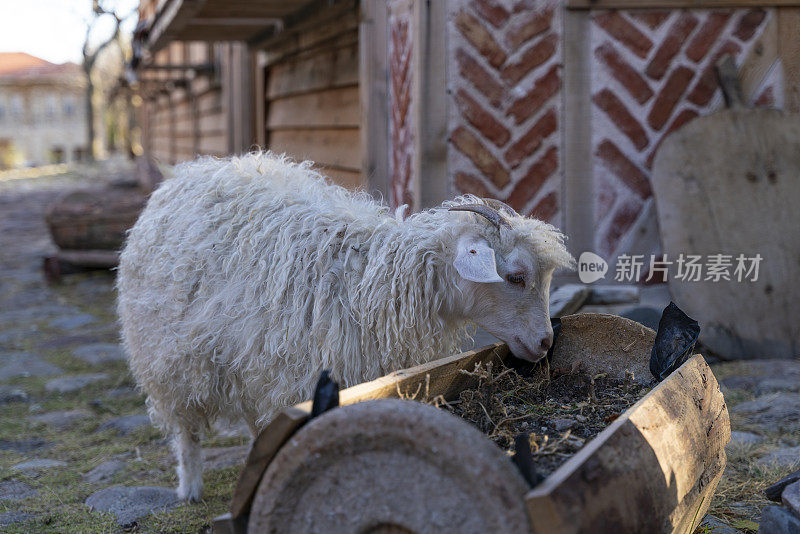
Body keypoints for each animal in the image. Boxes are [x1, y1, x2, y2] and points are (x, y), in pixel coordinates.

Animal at [115, 152, 572, 502]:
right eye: (516, 277)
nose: (545, 341)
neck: (369, 280)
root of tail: (186, 172)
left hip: (246, 358)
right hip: (167, 357)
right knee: (185, 429)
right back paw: (190, 487)